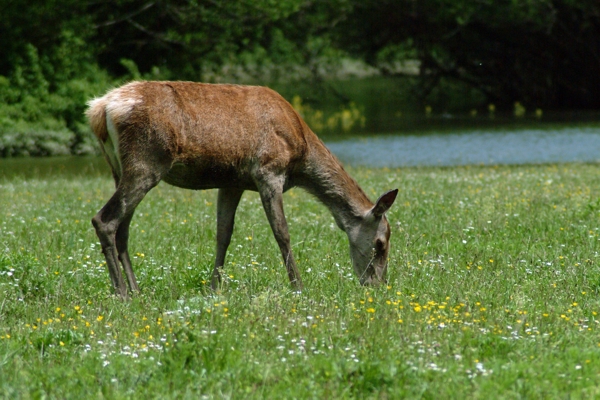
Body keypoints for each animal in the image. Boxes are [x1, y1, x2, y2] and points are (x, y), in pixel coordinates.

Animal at [83, 81, 394, 298]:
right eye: (380, 244)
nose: (376, 285)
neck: (301, 153)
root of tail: (100, 109)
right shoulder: (268, 171)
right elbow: (282, 233)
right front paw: (298, 286)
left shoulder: (232, 182)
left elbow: (223, 234)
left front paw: (214, 287)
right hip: (145, 162)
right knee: (104, 219)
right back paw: (122, 292)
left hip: (119, 168)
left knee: (123, 228)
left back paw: (136, 290)